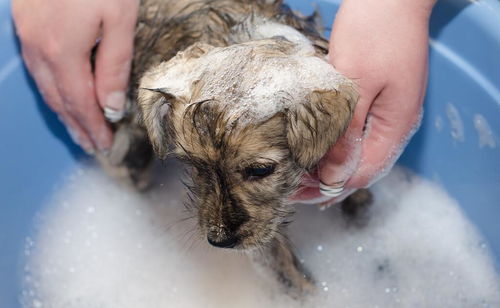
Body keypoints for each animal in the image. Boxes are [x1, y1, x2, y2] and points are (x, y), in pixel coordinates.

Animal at [97, 0, 370, 294]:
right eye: (195, 166)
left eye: (260, 170)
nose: (219, 240)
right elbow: (285, 271)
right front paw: (309, 294)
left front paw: (360, 206)